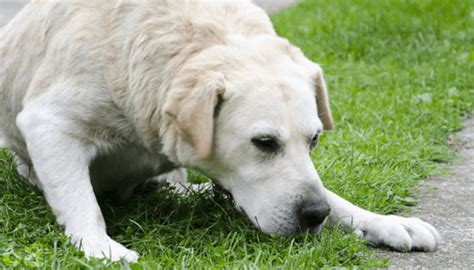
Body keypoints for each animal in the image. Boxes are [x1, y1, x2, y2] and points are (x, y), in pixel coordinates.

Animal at [0, 0, 440, 262]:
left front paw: (383, 221)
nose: (315, 215)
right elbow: (82, 202)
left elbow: (333, 196)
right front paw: (100, 247)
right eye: (264, 143)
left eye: (314, 140)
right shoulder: (48, 123)